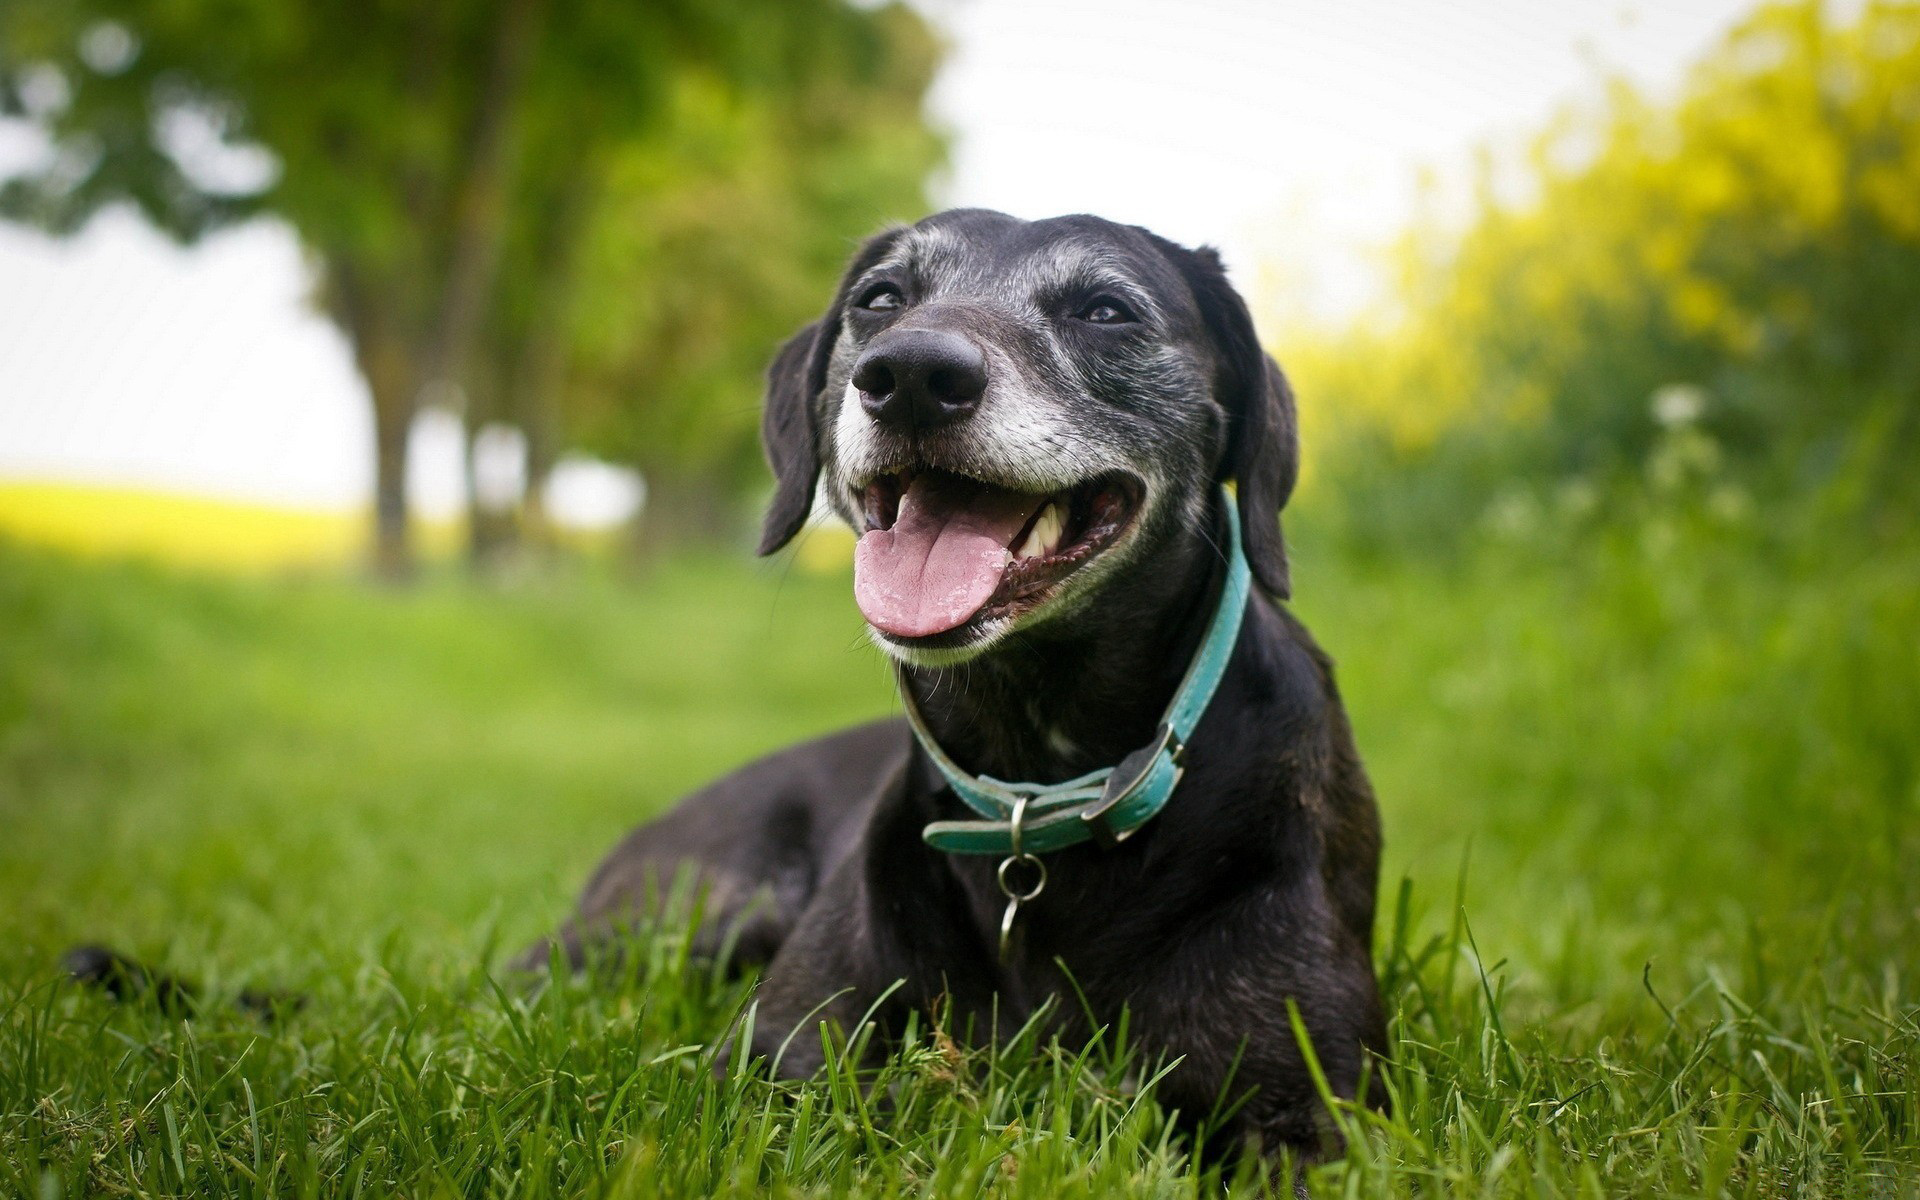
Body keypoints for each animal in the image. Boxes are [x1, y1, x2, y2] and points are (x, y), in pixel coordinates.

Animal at [526, 210, 1390, 1159]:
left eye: (1106, 309)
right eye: (880, 298)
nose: (909, 375)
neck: (1039, 777)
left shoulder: (1310, 1109)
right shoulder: (763, 1067)